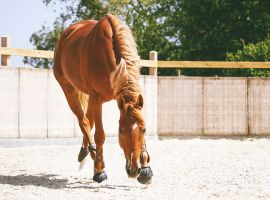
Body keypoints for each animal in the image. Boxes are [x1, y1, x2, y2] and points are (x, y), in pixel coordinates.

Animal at [53, 13, 153, 184]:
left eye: (144, 130)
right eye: (121, 131)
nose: (134, 170)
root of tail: (65, 36)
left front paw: (146, 169)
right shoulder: (96, 98)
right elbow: (100, 135)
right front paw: (100, 171)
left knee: (88, 120)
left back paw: (86, 152)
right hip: (69, 89)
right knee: (83, 121)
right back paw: (92, 155)